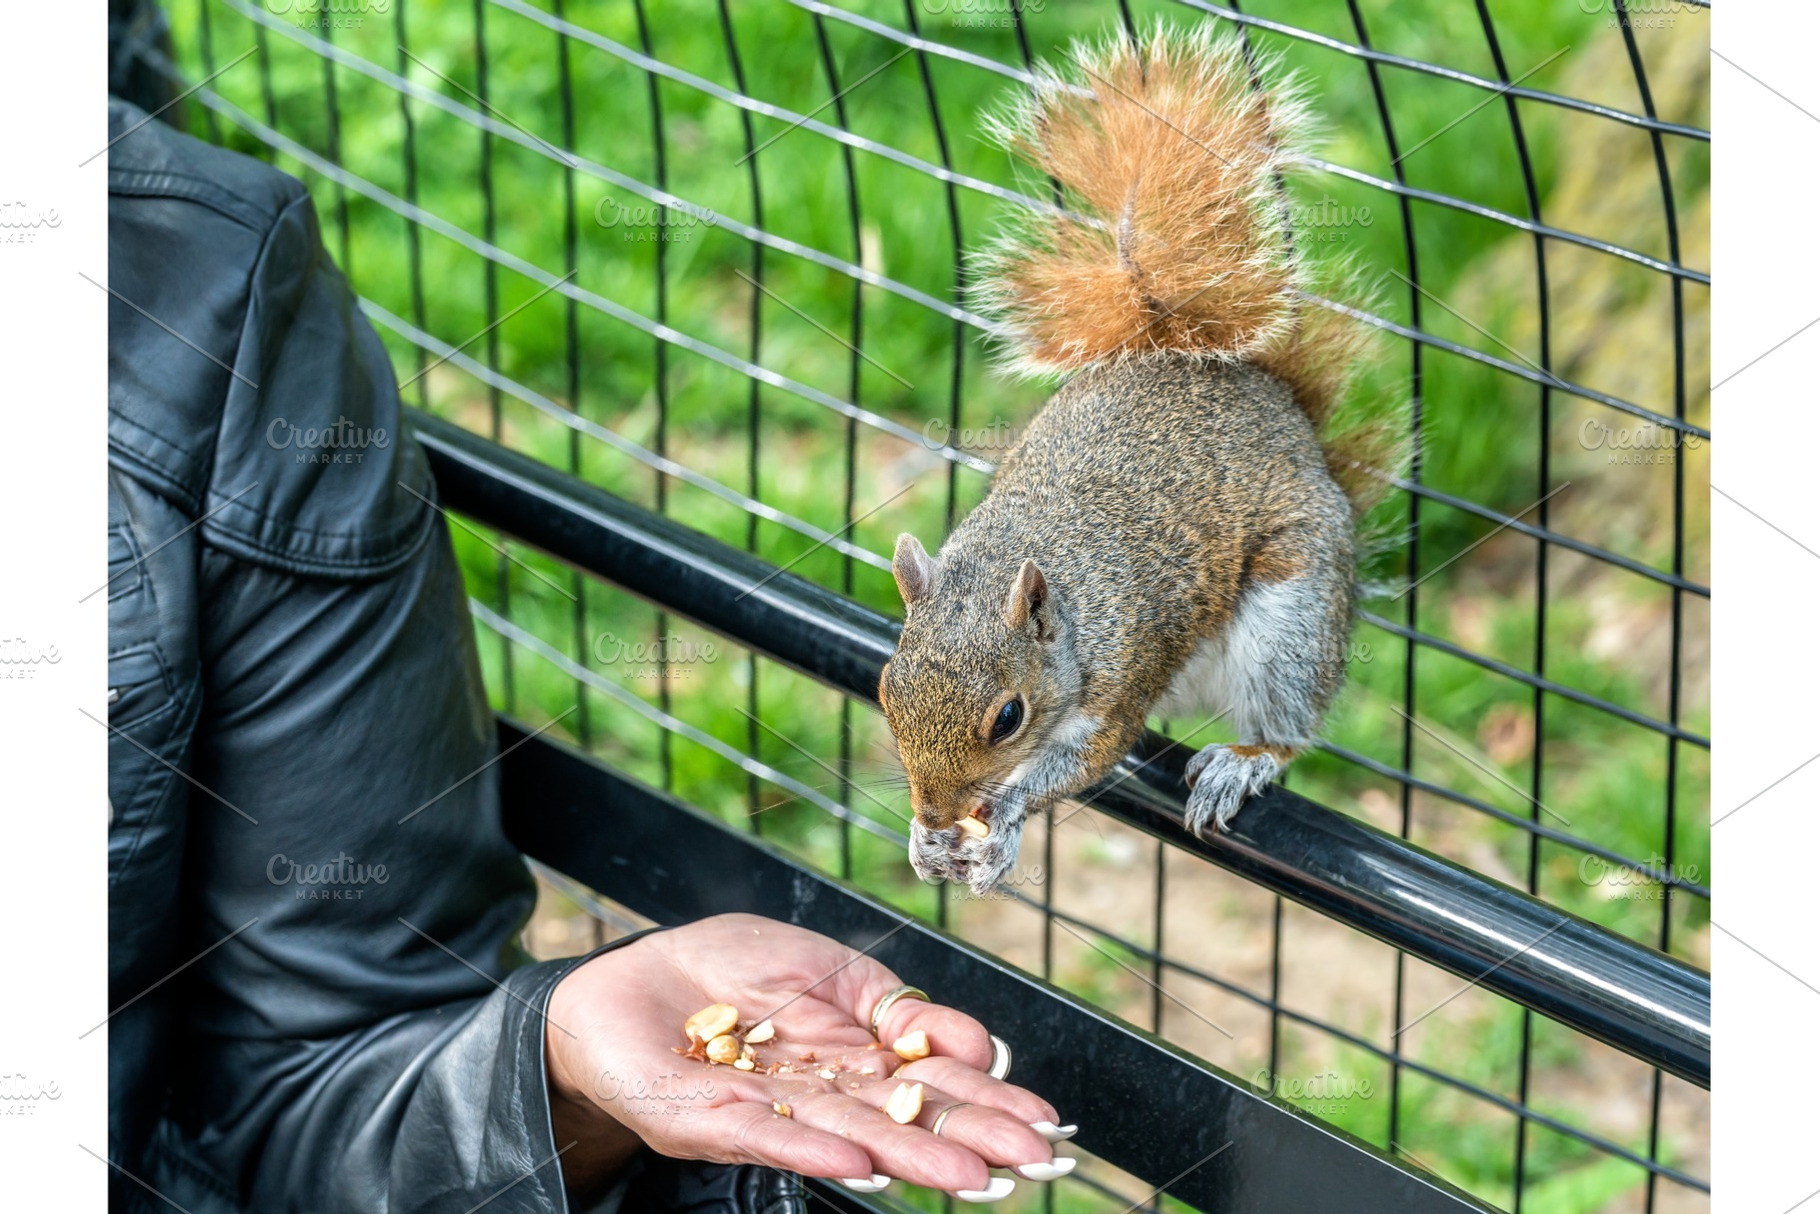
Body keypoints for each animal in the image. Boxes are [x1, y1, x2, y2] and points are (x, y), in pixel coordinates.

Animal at [877, 26, 1404, 894]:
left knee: (1287, 720)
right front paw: (928, 843)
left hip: (1294, 612)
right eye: (888, 691)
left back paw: (1245, 760)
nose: (934, 810)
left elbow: (1090, 755)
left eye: (1009, 717)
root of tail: (1278, 406)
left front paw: (1005, 819)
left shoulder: (1123, 668)